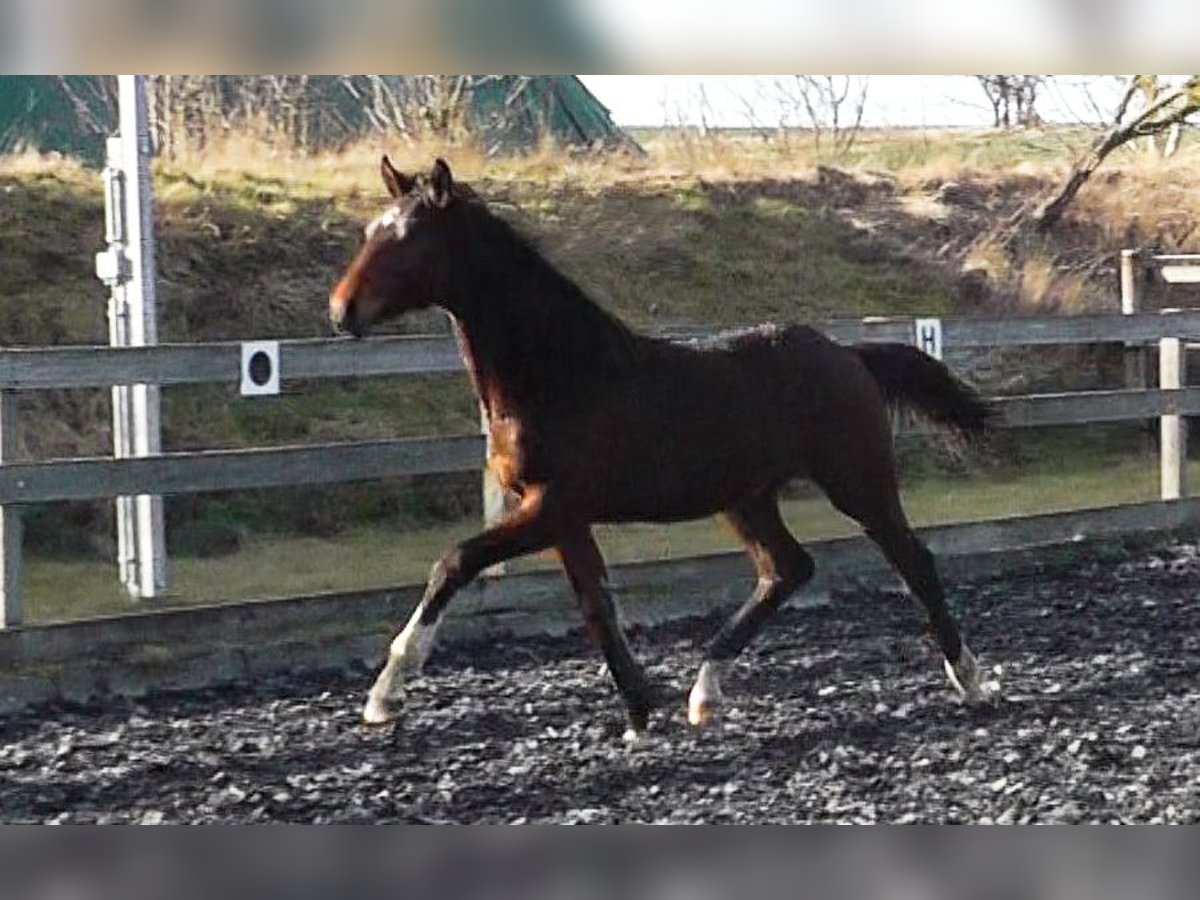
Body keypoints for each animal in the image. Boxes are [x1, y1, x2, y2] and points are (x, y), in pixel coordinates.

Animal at [333, 158, 998, 744]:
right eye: (369, 233)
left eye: (409, 241)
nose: (341, 312)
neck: (560, 373)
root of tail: (850, 354)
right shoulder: (565, 518)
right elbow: (596, 607)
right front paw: (639, 714)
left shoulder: (550, 506)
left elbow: (455, 561)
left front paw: (385, 695)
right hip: (747, 498)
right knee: (787, 569)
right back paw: (704, 693)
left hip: (857, 481)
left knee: (914, 562)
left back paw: (969, 678)